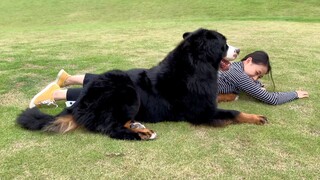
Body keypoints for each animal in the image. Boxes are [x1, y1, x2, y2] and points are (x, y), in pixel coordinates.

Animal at [17, 28, 268, 141]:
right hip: (127, 91)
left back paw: (139, 126)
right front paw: (256, 117)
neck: (196, 66)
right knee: (108, 126)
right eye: (223, 43)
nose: (238, 50)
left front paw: (232, 96)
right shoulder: (201, 111)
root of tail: (81, 100)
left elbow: (222, 98)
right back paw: (141, 134)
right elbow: (232, 113)